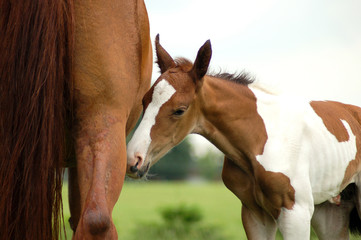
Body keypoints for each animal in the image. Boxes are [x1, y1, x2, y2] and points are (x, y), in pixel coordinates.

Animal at [125, 34, 358, 239]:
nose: (133, 160)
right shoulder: (255, 214)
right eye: (144, 101)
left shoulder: (296, 212)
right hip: (329, 212)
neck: (261, 139)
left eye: (180, 110)